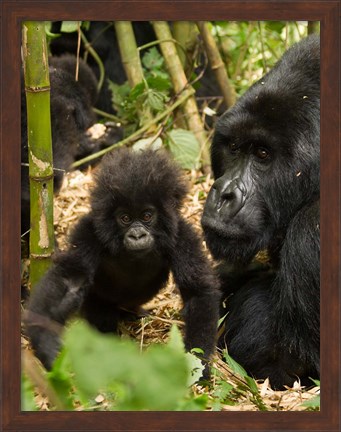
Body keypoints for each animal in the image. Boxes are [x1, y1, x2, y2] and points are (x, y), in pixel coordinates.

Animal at [24, 148, 220, 372]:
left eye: (147, 216)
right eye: (125, 218)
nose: (137, 235)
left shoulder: (181, 236)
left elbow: (197, 292)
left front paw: (196, 365)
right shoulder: (89, 232)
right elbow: (69, 280)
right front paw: (46, 344)